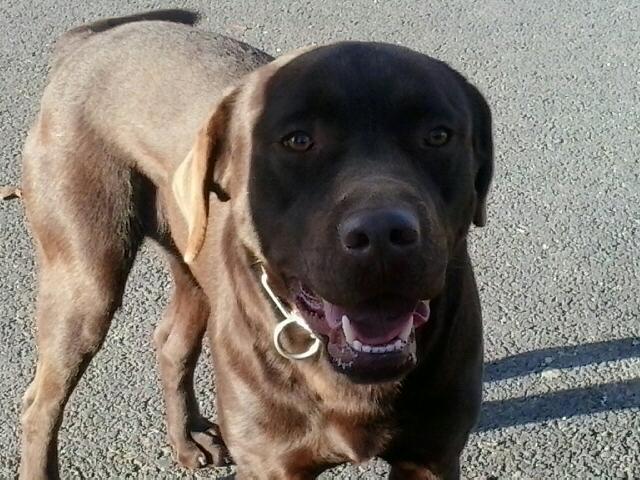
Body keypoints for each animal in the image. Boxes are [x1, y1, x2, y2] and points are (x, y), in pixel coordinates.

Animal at [18, 9, 493, 480]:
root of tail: (86, 43)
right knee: (40, 404)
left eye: (437, 136)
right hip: (86, 275)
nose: (382, 235)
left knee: (172, 343)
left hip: (191, 262)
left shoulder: (433, 455)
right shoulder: (270, 462)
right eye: (298, 140)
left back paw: (187, 439)